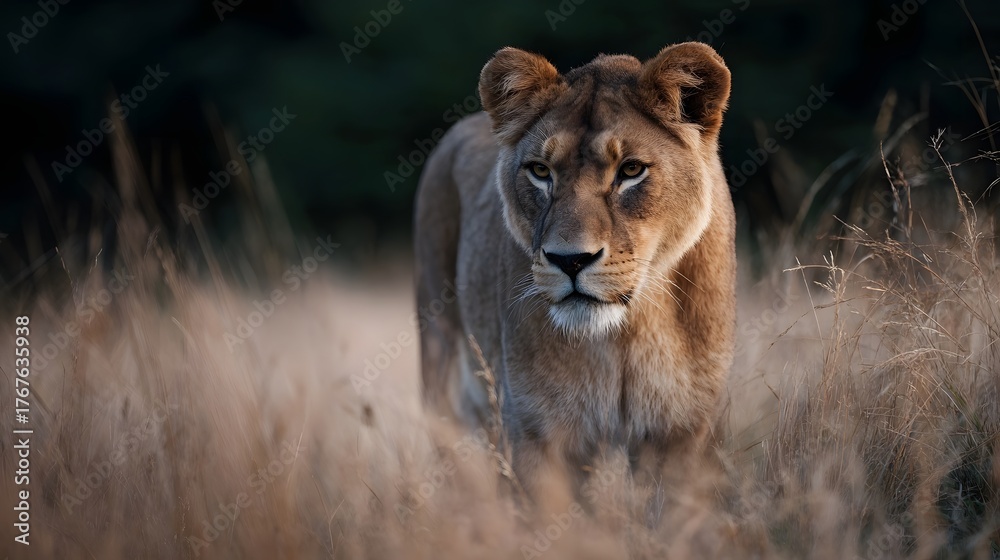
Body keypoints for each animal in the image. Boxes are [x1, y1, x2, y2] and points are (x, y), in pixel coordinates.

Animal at [414, 43, 736, 495]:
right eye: (540, 171)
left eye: (631, 170)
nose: (570, 260)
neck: (625, 336)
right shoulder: (536, 431)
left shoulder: (683, 434)